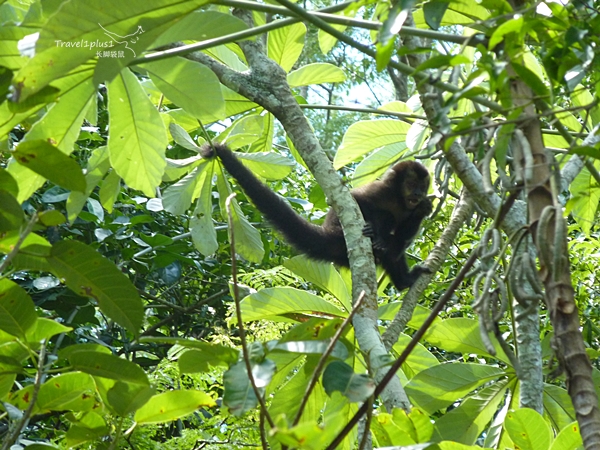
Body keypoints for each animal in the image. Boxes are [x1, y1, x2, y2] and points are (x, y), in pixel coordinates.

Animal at [200, 144, 432, 292]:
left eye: (422, 187)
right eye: (412, 184)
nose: (418, 194)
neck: (399, 199)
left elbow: (403, 235)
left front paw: (424, 208)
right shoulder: (381, 190)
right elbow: (358, 201)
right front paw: (374, 230)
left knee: (394, 248)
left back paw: (403, 281)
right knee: (383, 218)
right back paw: (377, 237)